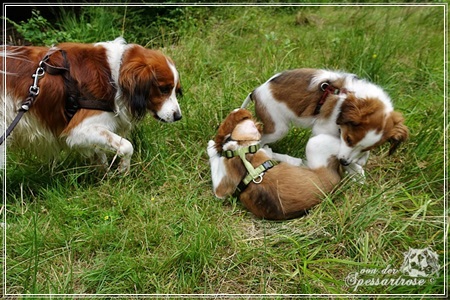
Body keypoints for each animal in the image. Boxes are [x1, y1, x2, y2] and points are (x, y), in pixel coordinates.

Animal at [0, 37, 183, 172]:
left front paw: (105, 175)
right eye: (163, 89)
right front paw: (123, 170)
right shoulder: (78, 130)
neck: (113, 74)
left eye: (175, 89)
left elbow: (101, 153)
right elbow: (127, 146)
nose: (178, 116)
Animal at [207, 108, 342, 220]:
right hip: (314, 146)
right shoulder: (220, 189)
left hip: (315, 143)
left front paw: (211, 147)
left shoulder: (220, 188)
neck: (244, 152)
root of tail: (335, 177)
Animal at [241, 68, 410, 178]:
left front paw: (359, 161)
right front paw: (353, 168)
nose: (344, 162)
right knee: (260, 142)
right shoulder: (323, 129)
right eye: (348, 139)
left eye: (368, 148)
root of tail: (256, 91)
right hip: (278, 127)